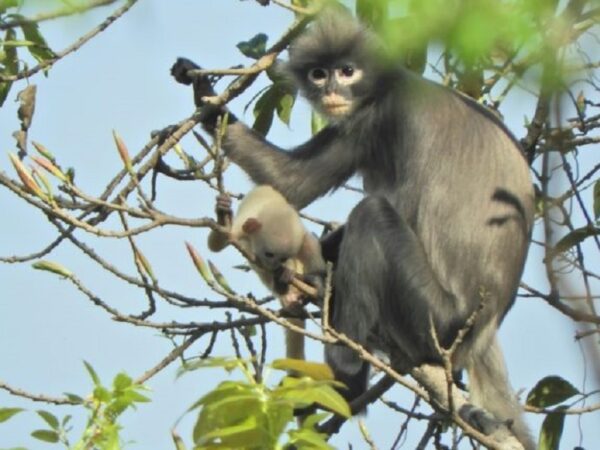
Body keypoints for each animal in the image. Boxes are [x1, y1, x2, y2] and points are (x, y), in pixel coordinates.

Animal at [171, 7, 536, 450]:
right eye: (319, 73)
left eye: (347, 71)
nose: (331, 88)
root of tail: (483, 327)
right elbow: (293, 181)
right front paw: (205, 96)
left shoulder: (387, 117)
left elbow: (389, 201)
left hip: (435, 320)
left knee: (372, 214)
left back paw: (344, 381)